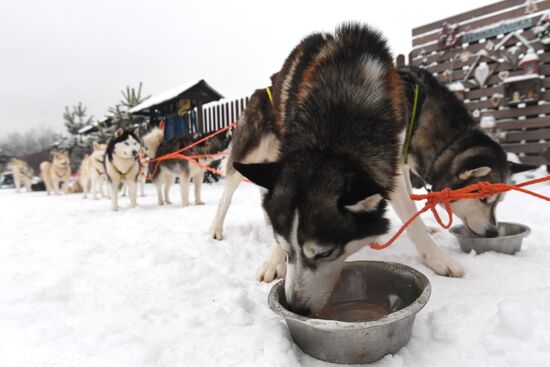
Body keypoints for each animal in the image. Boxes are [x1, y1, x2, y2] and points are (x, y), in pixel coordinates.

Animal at [225, 24, 466, 316]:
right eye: (287, 250)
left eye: (324, 253)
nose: (295, 307)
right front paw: (274, 259)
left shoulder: (391, 160)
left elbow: (410, 213)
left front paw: (436, 256)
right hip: (251, 152)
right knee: (228, 190)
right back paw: (217, 230)